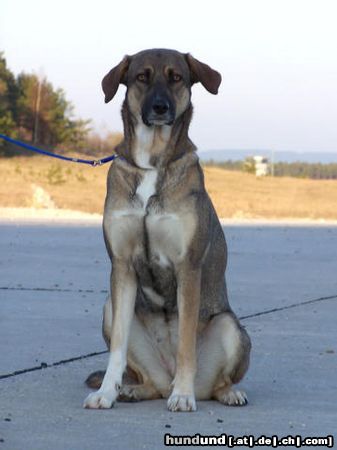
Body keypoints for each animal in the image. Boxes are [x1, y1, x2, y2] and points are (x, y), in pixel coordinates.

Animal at [82, 48, 249, 412]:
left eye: (176, 78)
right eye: (142, 77)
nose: (160, 108)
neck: (151, 163)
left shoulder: (188, 267)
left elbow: (185, 342)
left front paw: (183, 395)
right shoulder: (121, 267)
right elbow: (117, 349)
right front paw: (106, 392)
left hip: (230, 327)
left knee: (218, 381)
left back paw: (220, 391)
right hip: (109, 309)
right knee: (152, 383)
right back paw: (134, 390)